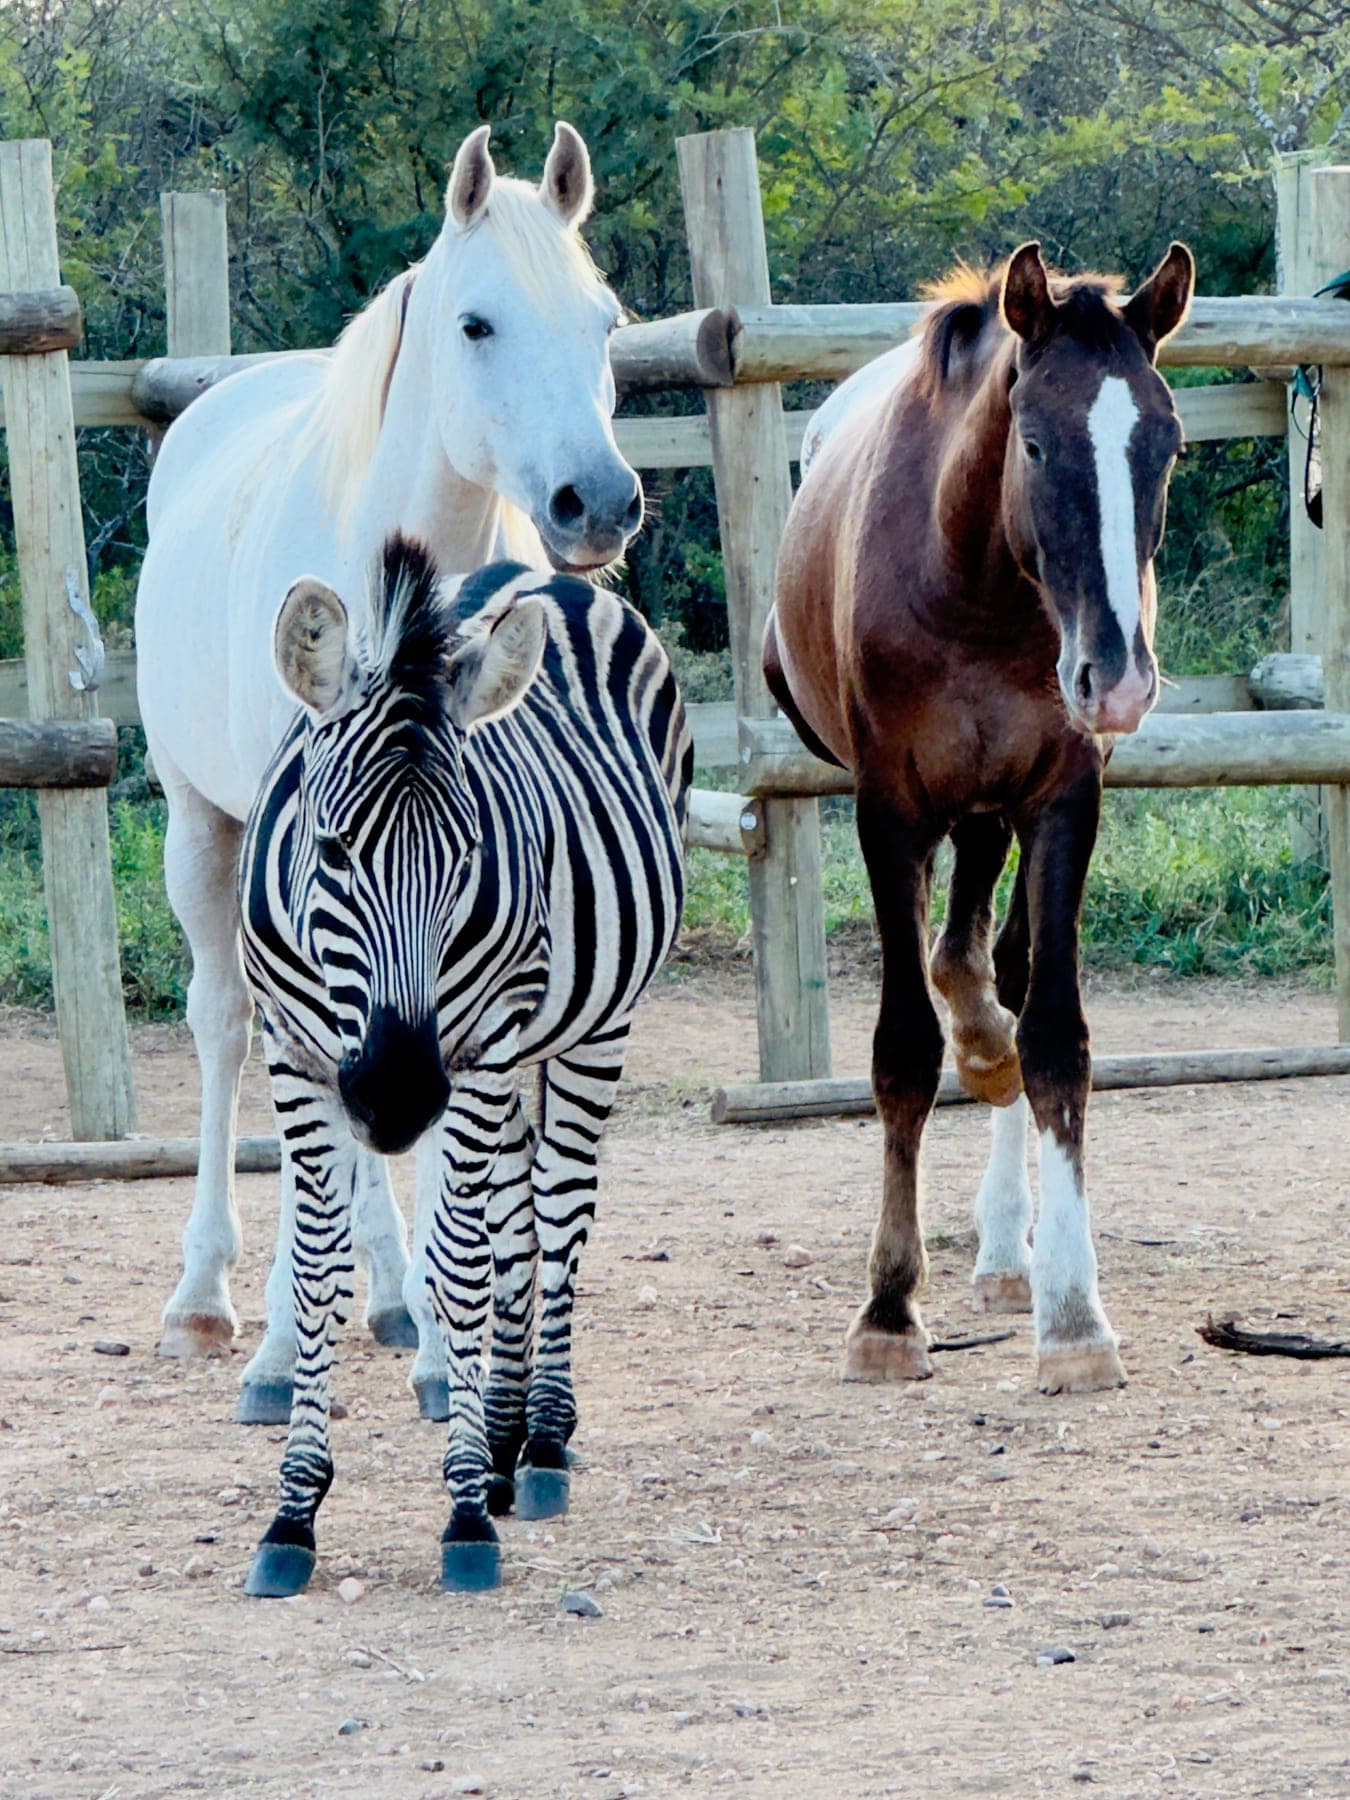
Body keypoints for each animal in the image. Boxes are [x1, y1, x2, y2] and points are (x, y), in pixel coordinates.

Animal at [135, 122, 642, 1425]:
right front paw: (278, 1344)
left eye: (606, 320)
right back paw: (206, 1295)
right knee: (224, 1031)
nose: (600, 501)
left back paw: (390, 1292)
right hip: (197, 829)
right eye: (476, 323)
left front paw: (438, 1341)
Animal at [765, 240, 1194, 1393]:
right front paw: (886, 1310)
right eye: (1035, 442)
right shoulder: (890, 811)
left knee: (991, 963)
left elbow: (1054, 1039)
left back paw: (1012, 1250)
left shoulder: (1060, 798)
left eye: (1167, 442)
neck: (976, 589)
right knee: (957, 961)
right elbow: (904, 1050)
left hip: (999, 809)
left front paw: (1075, 1315)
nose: (1118, 679)